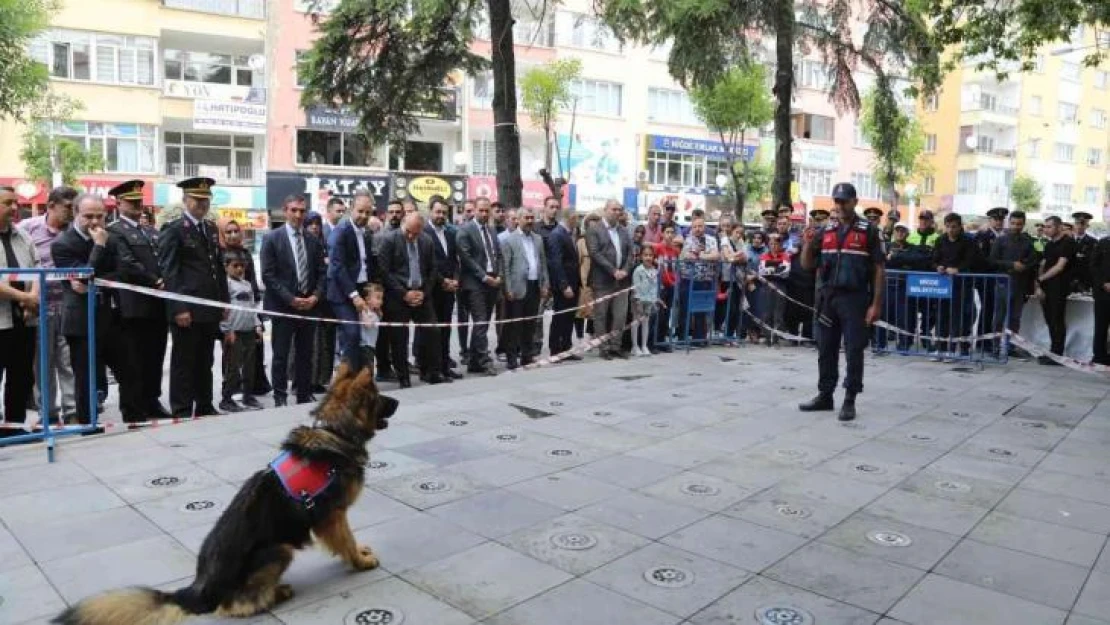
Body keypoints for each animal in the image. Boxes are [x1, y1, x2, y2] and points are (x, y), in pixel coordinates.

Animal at [55, 364, 399, 625]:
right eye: (380, 397)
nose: (397, 401)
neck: (336, 432)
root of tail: (198, 590)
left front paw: (360, 554)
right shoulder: (333, 516)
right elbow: (346, 541)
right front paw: (360, 561)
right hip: (279, 550)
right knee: (235, 606)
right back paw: (277, 594)